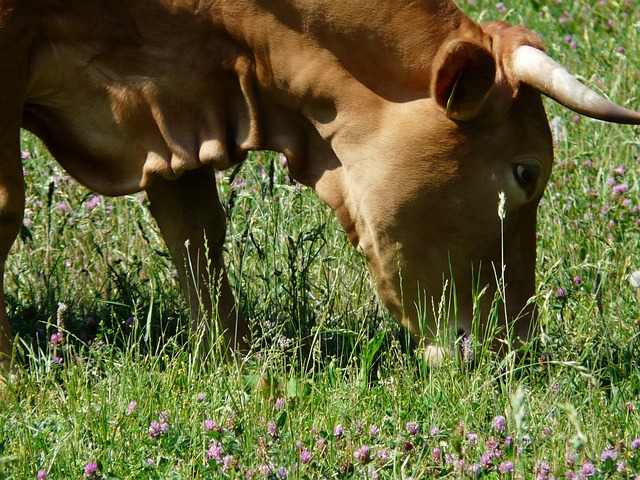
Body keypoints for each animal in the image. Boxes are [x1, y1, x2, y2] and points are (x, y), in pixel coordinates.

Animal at [1, 0, 640, 372]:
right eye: (527, 171)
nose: (518, 349)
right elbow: (8, 208)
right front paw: (11, 379)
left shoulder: (175, 107)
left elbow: (196, 230)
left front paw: (232, 363)